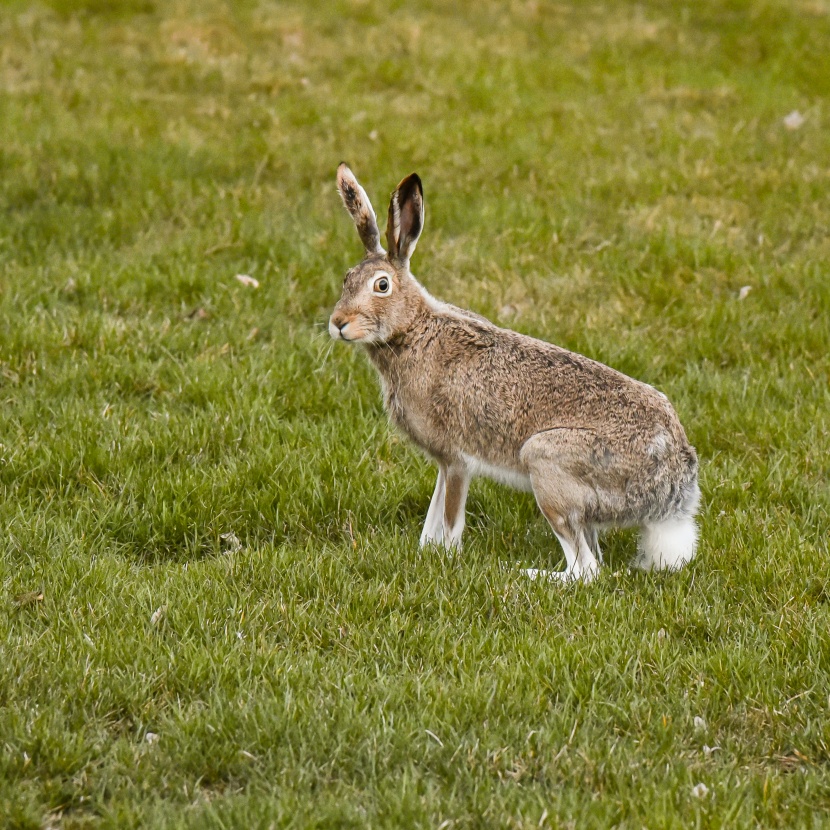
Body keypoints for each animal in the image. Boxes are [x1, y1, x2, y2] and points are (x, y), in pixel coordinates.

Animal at [332, 166, 704, 584]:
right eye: (346, 278)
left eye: (381, 285)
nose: (338, 323)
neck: (412, 329)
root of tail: (675, 486)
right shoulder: (444, 463)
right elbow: (432, 516)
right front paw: (425, 552)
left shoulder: (457, 459)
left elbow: (450, 519)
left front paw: (446, 559)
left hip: (547, 464)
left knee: (586, 570)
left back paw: (527, 574)